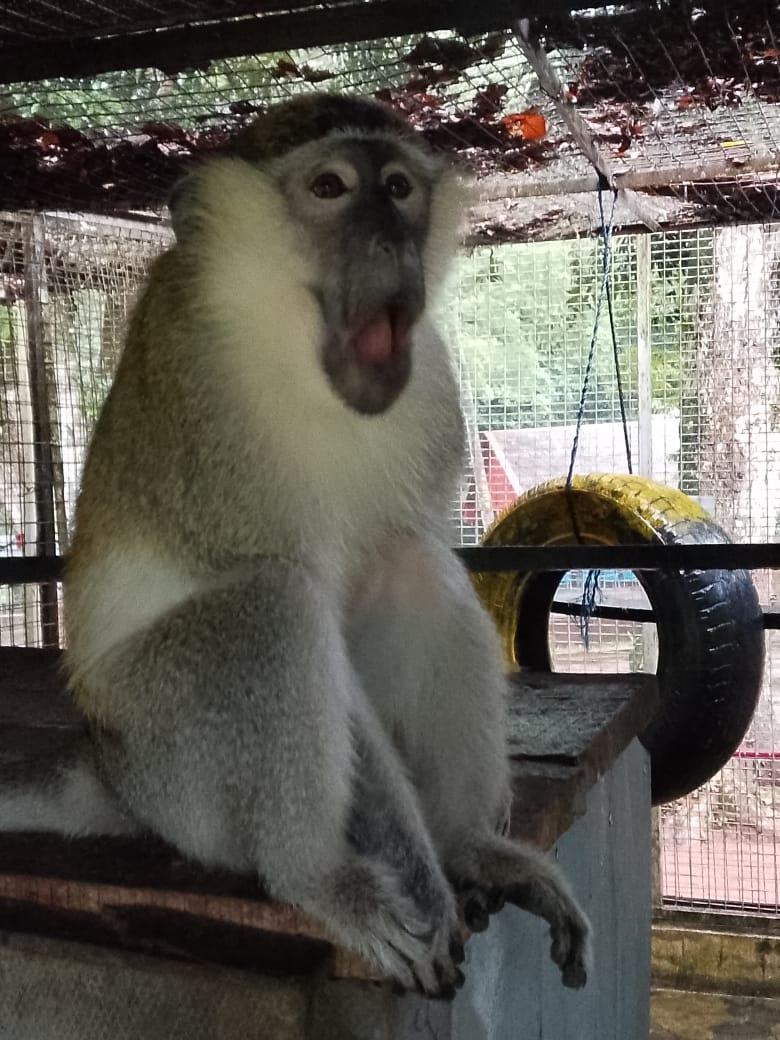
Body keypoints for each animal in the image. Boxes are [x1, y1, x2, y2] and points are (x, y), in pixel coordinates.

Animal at [0, 94, 590, 998]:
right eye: (329, 188)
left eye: (398, 188)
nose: (391, 244)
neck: (283, 339)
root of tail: (114, 774)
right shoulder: (210, 405)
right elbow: (285, 591)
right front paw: (417, 882)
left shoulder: (429, 387)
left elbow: (404, 551)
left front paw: (455, 857)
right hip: (170, 759)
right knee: (269, 603)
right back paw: (317, 875)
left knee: (410, 565)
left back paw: (467, 846)